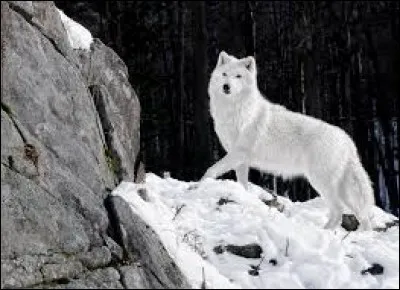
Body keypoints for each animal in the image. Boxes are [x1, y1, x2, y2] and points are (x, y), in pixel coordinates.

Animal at [203, 51, 376, 230]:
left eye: (238, 76)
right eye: (224, 74)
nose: (226, 86)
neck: (236, 110)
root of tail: (347, 141)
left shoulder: (238, 153)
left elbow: (210, 170)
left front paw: (201, 184)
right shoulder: (241, 160)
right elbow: (242, 184)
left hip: (321, 182)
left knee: (338, 211)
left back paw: (325, 232)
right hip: (341, 189)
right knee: (360, 215)